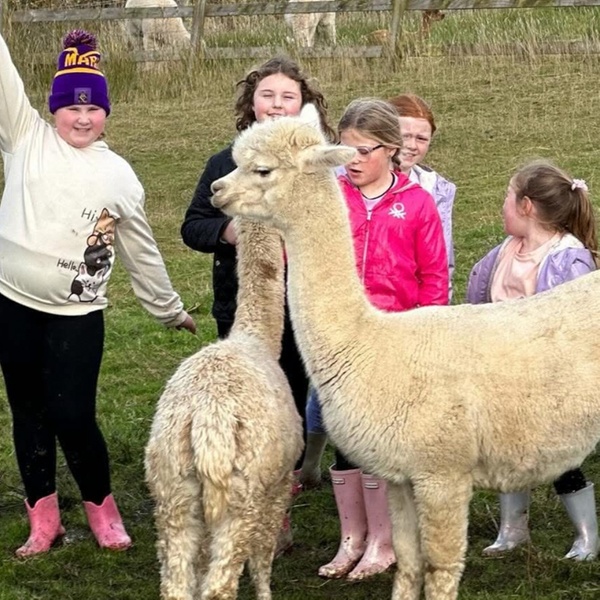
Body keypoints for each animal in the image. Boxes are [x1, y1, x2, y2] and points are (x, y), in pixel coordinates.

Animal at [144, 217, 303, 600]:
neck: (256, 338)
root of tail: (206, 418)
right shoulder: (277, 484)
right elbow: (263, 557)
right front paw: (266, 594)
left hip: (173, 491)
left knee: (176, 583)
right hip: (240, 497)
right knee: (221, 584)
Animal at [210, 111, 600, 600]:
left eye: (262, 169)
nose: (215, 190)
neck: (368, 346)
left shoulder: (442, 472)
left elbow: (439, 567)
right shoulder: (401, 475)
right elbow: (408, 561)